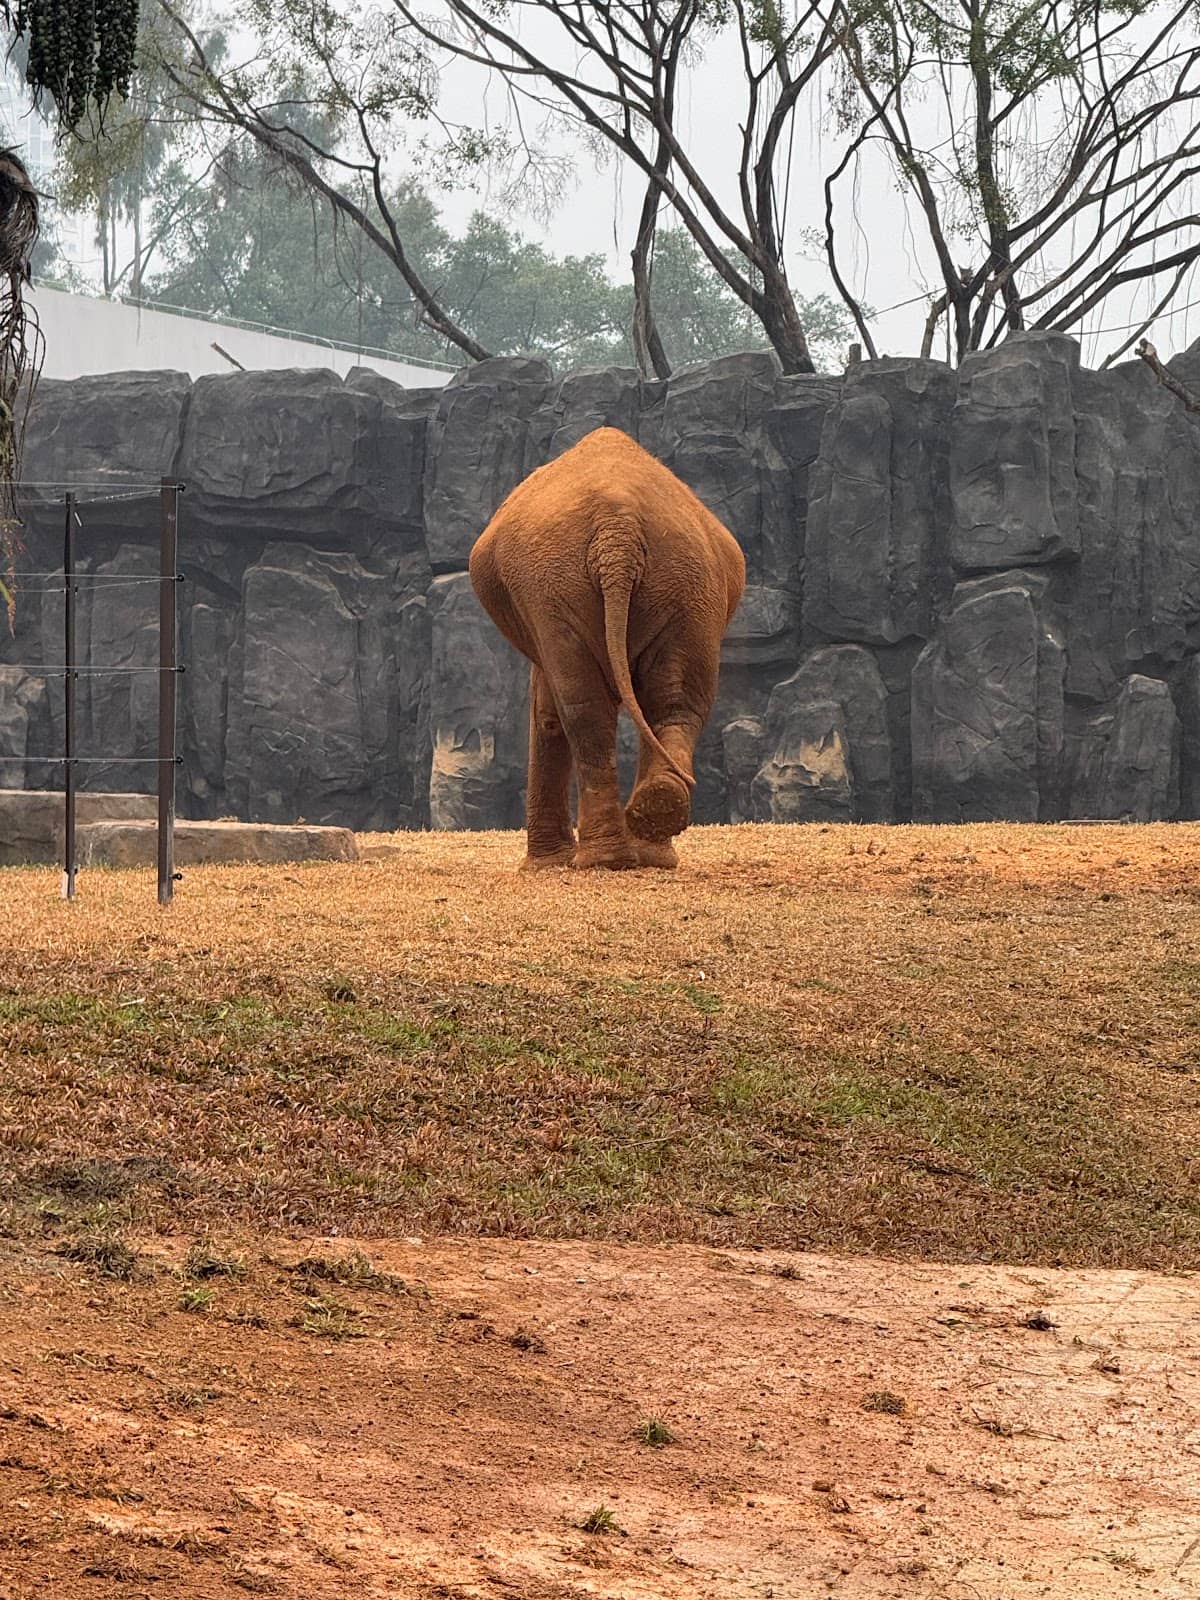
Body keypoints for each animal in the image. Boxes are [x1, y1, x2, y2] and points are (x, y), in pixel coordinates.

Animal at [468, 426, 745, 870]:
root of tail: (619, 530)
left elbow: (549, 713)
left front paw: (545, 867)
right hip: (685, 584)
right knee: (673, 700)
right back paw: (651, 831)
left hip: (562, 584)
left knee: (586, 709)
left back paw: (604, 859)